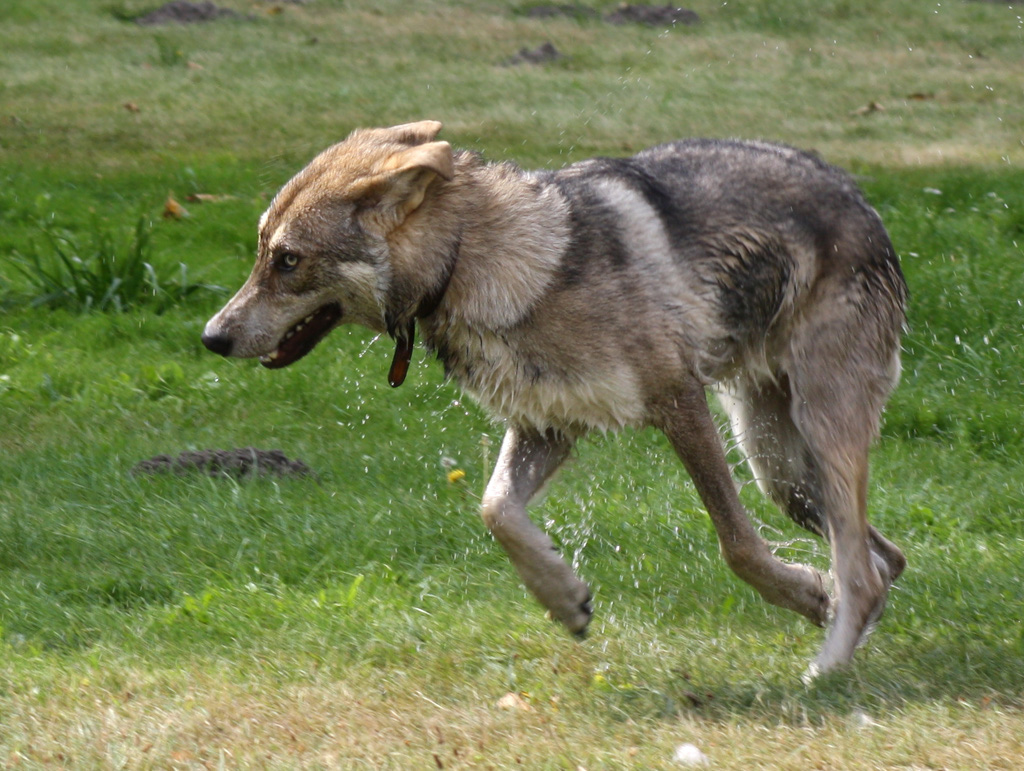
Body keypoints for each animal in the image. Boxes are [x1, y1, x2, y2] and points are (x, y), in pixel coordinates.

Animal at [203, 120, 909, 671]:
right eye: (262, 250)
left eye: (287, 260)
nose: (211, 337)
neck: (473, 260)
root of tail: (858, 194)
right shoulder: (548, 425)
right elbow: (496, 511)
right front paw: (564, 599)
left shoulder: (678, 403)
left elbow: (736, 544)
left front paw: (802, 596)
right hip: (779, 469)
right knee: (883, 560)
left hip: (813, 432)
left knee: (861, 569)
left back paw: (827, 663)